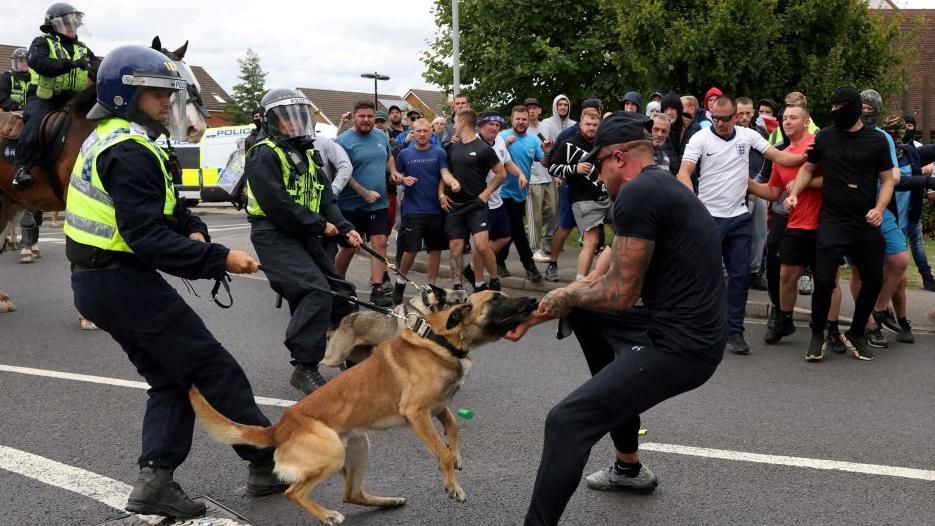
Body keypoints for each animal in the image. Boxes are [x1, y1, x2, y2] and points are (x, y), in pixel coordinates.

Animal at [324, 286, 472, 370]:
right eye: (455, 304)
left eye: (467, 302)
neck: (429, 308)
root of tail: (343, 320)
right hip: (335, 357)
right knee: (323, 361)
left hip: (358, 355)